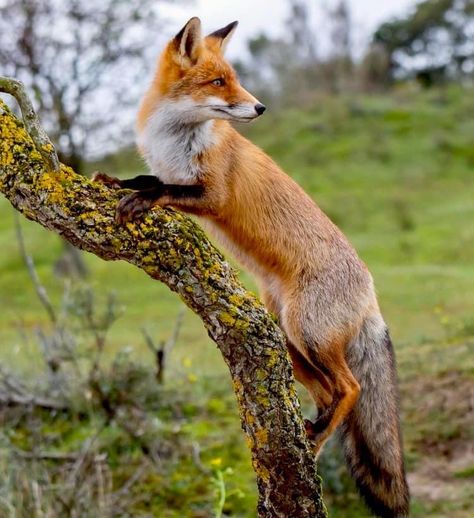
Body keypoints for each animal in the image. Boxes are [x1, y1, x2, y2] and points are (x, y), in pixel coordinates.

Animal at [93, 17, 412, 518]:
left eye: (234, 78)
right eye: (218, 82)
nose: (260, 107)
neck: (176, 139)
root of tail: (369, 289)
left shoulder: (212, 194)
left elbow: (163, 189)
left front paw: (138, 199)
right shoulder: (173, 173)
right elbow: (146, 177)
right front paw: (114, 180)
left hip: (309, 331)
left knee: (353, 388)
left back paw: (318, 437)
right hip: (288, 337)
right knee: (330, 393)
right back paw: (314, 433)